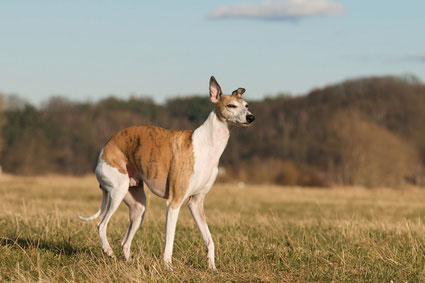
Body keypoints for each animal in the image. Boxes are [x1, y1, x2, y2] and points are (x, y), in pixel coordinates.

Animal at [78, 76, 253, 270]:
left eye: (246, 105)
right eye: (231, 106)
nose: (251, 117)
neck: (208, 145)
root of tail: (105, 148)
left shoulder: (196, 202)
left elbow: (209, 240)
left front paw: (212, 267)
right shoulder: (174, 202)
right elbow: (169, 240)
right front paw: (168, 267)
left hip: (138, 207)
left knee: (125, 242)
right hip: (118, 191)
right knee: (101, 225)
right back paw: (108, 251)